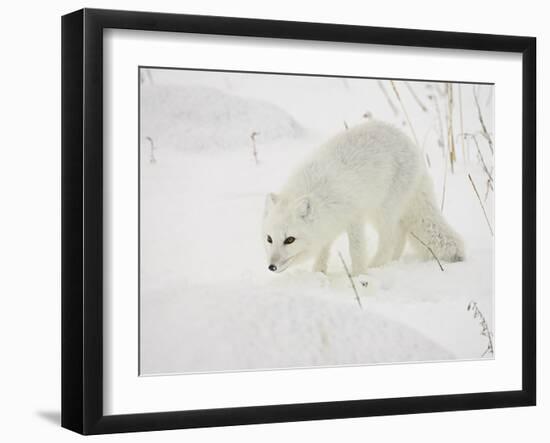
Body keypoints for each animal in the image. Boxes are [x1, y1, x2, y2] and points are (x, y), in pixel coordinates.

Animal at [264, 119, 466, 276]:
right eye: (269, 239)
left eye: (289, 239)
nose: (271, 267)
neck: (317, 191)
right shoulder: (328, 225)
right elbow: (323, 251)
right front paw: (318, 274)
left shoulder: (355, 217)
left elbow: (356, 250)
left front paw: (358, 276)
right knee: (400, 233)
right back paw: (392, 262)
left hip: (383, 211)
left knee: (390, 240)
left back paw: (377, 267)